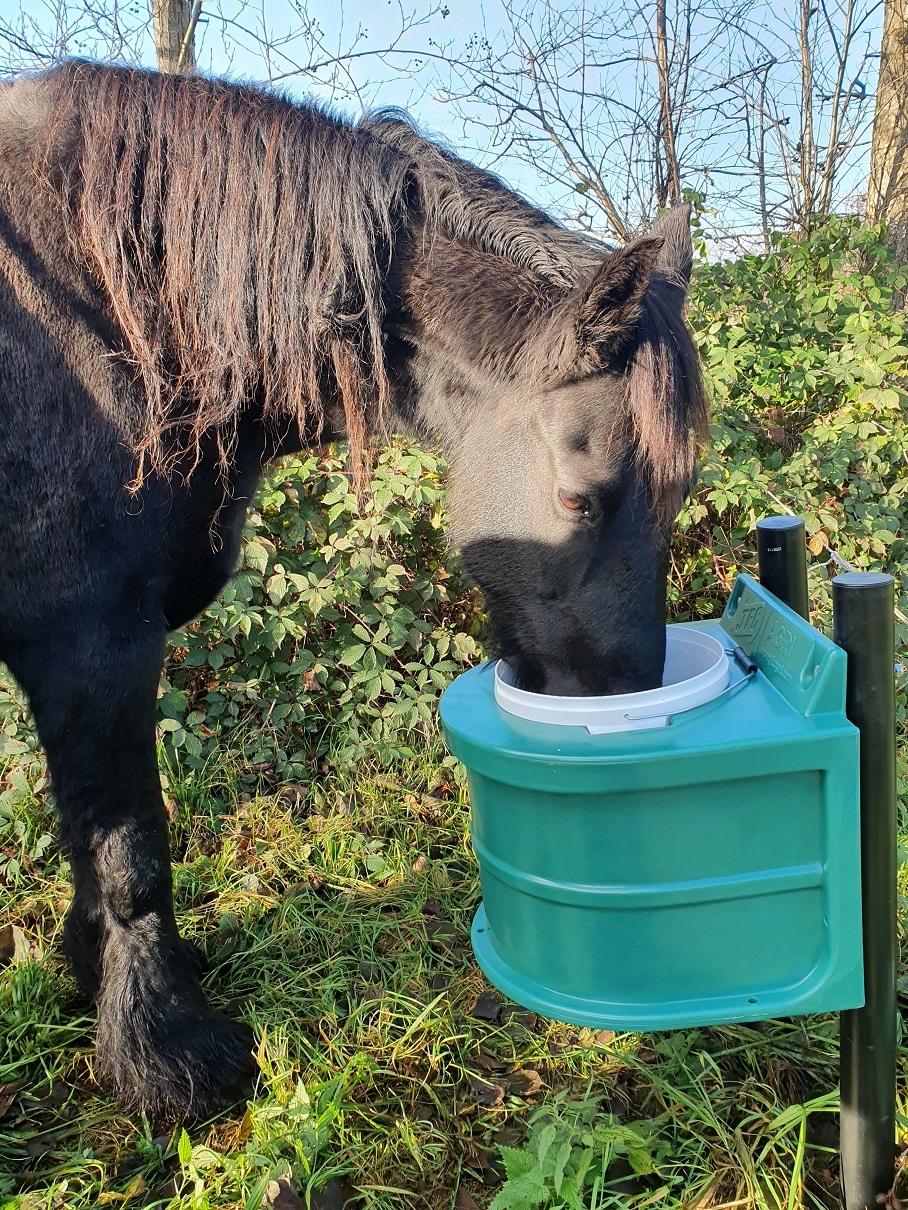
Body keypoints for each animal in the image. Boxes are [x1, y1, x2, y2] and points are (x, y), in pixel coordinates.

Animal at [0, 58, 711, 1113]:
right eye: (582, 499)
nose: (622, 711)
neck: (113, 309)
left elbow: (89, 835)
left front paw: (98, 978)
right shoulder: (93, 646)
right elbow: (129, 851)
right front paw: (166, 1055)